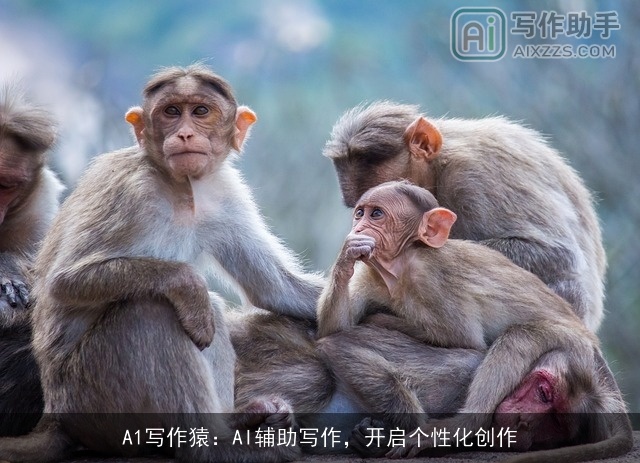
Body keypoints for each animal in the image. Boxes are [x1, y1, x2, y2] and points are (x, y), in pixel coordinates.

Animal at [0, 65, 322, 462]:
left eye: (200, 111)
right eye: (171, 112)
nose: (184, 133)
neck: (178, 186)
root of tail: (54, 416)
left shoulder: (224, 192)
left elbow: (274, 288)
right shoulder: (129, 191)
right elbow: (64, 280)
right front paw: (187, 283)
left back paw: (239, 422)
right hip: (93, 399)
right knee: (153, 310)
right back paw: (211, 447)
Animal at [316, 180, 632, 461]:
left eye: (377, 214)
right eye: (360, 212)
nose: (358, 227)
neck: (401, 265)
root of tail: (593, 345)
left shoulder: (433, 279)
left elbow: (464, 340)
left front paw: (381, 319)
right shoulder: (370, 275)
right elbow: (337, 326)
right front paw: (347, 256)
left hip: (571, 341)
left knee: (520, 337)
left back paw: (458, 428)